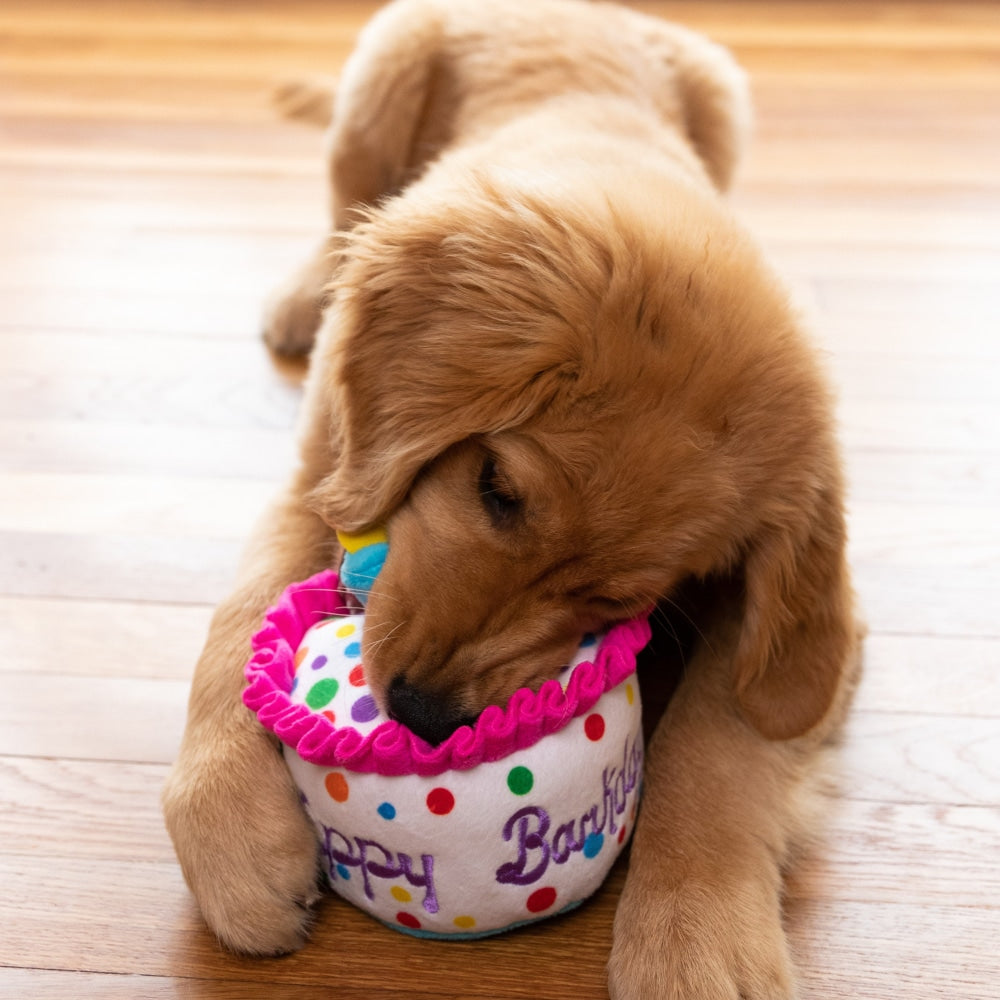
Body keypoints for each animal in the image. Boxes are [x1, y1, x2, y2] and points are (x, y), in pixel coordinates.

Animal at [162, 1, 860, 1000]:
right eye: (496, 488)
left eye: (616, 600)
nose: (421, 715)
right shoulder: (322, 471)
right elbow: (237, 620)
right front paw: (229, 835)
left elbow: (722, 738)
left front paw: (695, 937)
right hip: (382, 75)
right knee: (340, 210)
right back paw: (304, 292)